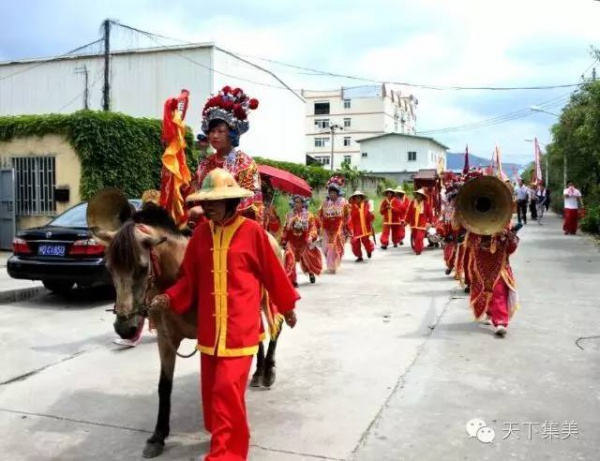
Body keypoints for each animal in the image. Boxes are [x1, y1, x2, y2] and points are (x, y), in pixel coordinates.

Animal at [94, 205, 286, 456]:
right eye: (109, 269)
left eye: (142, 268)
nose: (125, 327)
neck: (178, 277)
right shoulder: (165, 339)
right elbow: (164, 386)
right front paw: (158, 436)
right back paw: (256, 373)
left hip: (269, 296)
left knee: (275, 327)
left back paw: (268, 372)